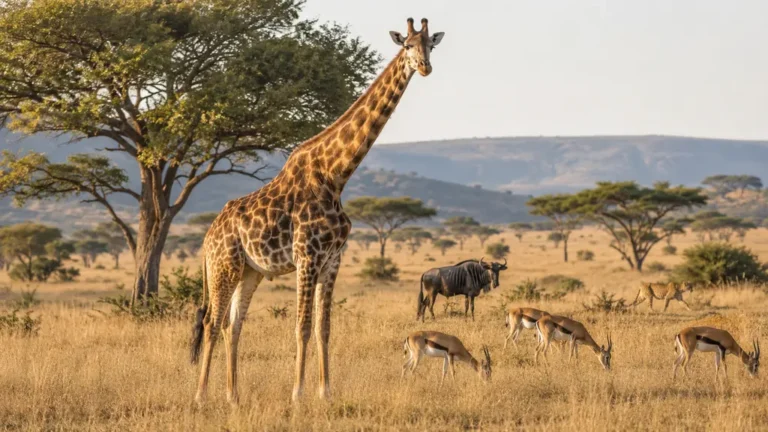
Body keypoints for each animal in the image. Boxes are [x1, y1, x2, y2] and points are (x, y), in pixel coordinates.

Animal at [190, 18, 445, 405]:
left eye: (431, 44)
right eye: (406, 46)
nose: (426, 67)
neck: (335, 176)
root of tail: (207, 239)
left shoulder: (332, 260)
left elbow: (325, 328)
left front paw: (326, 392)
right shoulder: (306, 257)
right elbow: (303, 327)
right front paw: (297, 393)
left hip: (250, 272)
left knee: (233, 324)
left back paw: (234, 396)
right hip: (224, 266)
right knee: (211, 322)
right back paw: (202, 396)